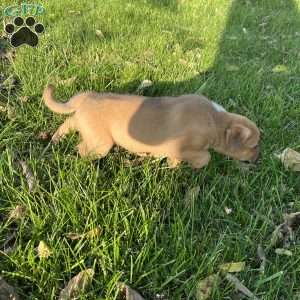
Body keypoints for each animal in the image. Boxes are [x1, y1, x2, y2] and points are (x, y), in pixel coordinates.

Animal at [42, 84, 260, 169]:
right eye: (255, 145)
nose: (259, 159)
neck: (215, 119)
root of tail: (84, 99)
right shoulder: (181, 147)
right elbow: (205, 157)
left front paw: (171, 164)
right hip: (101, 143)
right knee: (81, 149)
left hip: (81, 122)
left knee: (67, 123)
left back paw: (55, 139)